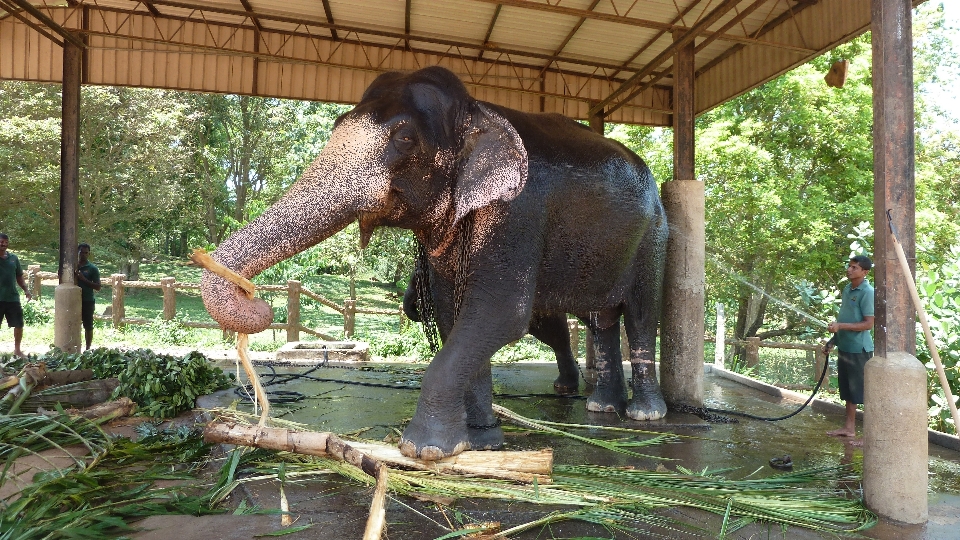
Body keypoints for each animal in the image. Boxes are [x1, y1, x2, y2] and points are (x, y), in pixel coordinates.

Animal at [201, 65, 668, 462]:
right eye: (336, 125)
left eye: (405, 139)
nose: (255, 299)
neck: (477, 110)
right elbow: (452, 313)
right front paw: (481, 440)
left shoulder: (518, 212)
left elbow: (500, 313)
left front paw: (424, 450)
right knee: (603, 320)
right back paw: (602, 408)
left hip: (655, 238)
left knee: (640, 314)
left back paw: (644, 415)